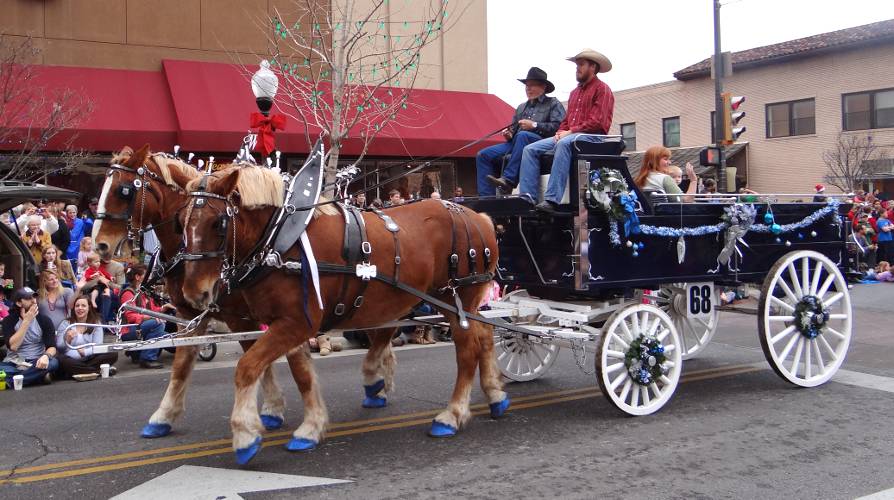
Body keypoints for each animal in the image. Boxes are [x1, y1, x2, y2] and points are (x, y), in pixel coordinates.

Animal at [180, 164, 512, 464]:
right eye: (181, 221)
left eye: (218, 223)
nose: (194, 293)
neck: (282, 238)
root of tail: (480, 218)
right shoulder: (289, 324)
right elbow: (302, 375)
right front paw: (311, 428)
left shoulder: (296, 323)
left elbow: (247, 367)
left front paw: (245, 436)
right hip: (456, 303)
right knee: (485, 335)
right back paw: (495, 396)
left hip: (457, 298)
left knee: (467, 350)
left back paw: (452, 415)